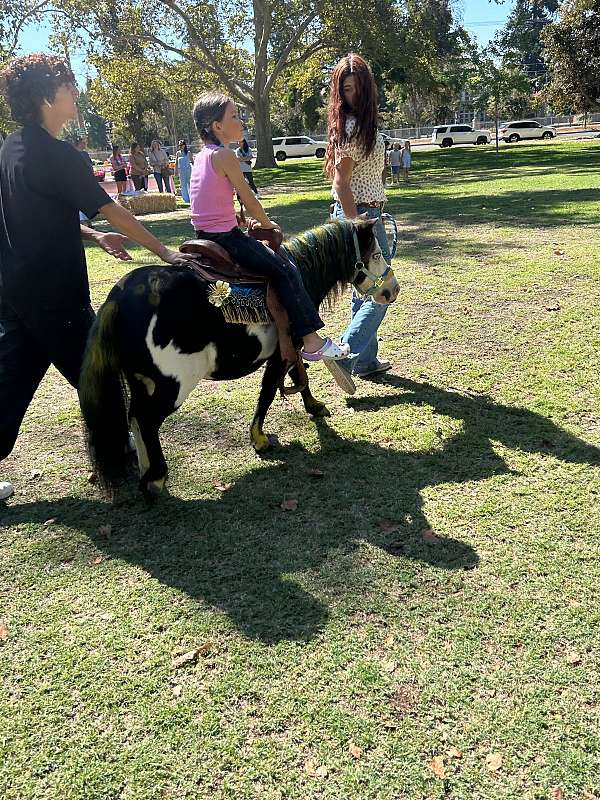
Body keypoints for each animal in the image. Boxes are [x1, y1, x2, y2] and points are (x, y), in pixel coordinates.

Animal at [79, 217, 398, 494]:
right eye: (377, 253)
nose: (391, 290)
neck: (299, 274)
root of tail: (120, 296)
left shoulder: (291, 348)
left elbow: (300, 376)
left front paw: (314, 406)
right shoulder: (283, 351)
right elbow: (270, 390)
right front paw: (259, 438)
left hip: (141, 380)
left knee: (133, 417)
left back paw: (147, 473)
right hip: (172, 384)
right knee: (146, 420)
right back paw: (155, 479)